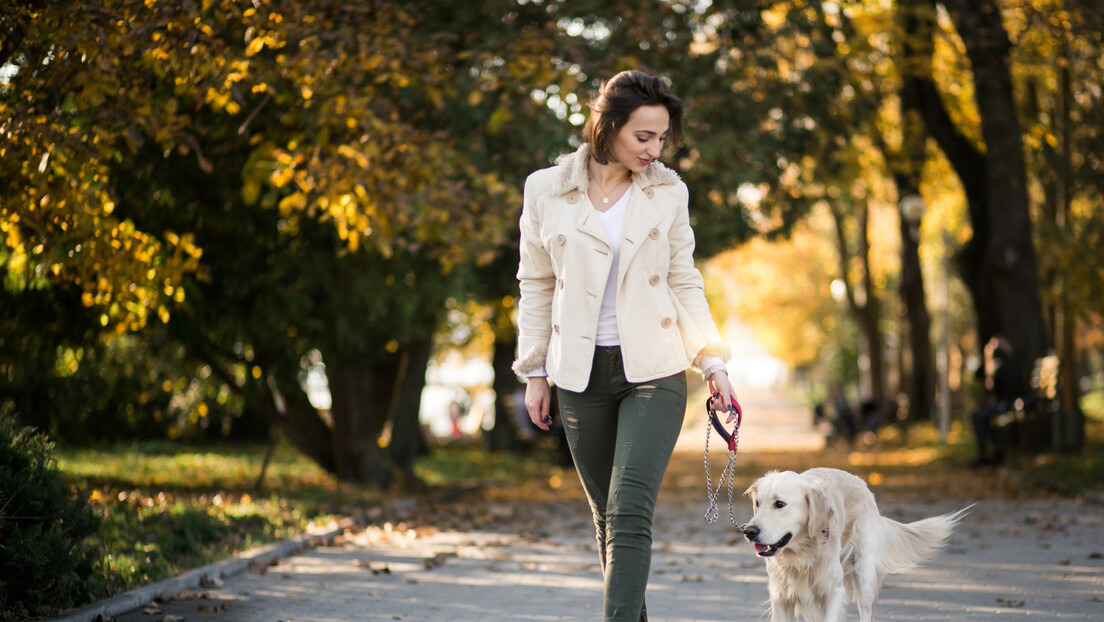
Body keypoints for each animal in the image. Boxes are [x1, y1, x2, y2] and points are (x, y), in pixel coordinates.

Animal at [741, 470, 967, 618]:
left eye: (780, 504)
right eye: (757, 504)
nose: (748, 531)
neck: (802, 556)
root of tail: (862, 483)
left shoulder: (834, 592)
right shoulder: (781, 597)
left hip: (864, 577)